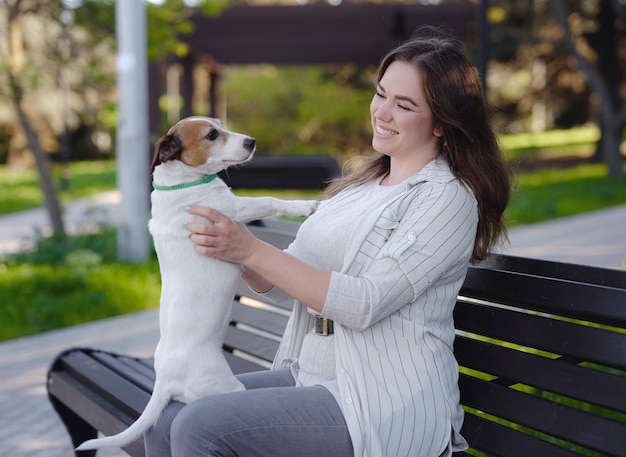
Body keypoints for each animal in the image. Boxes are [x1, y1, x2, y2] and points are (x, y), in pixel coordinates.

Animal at [76, 116, 316, 448]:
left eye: (220, 125)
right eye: (211, 135)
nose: (251, 141)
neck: (181, 182)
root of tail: (164, 381)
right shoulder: (234, 210)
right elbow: (269, 200)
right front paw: (304, 207)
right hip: (225, 387)